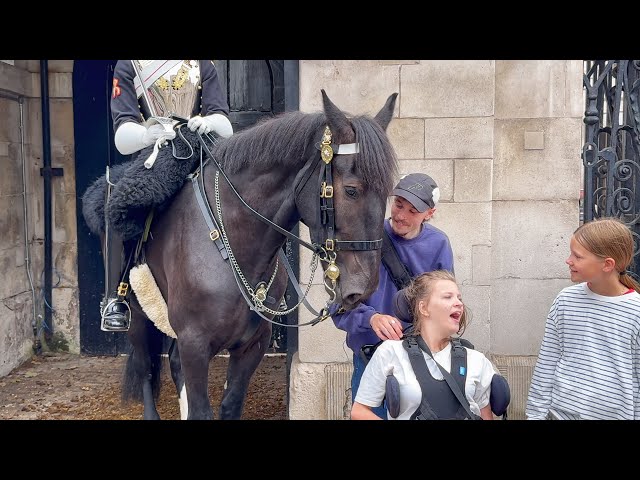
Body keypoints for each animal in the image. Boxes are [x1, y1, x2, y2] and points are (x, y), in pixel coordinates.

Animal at [120, 89, 398, 416]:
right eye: (352, 190)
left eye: (388, 192)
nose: (364, 288)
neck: (231, 245)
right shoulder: (195, 344)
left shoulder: (251, 346)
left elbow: (230, 405)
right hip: (138, 315)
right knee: (146, 369)